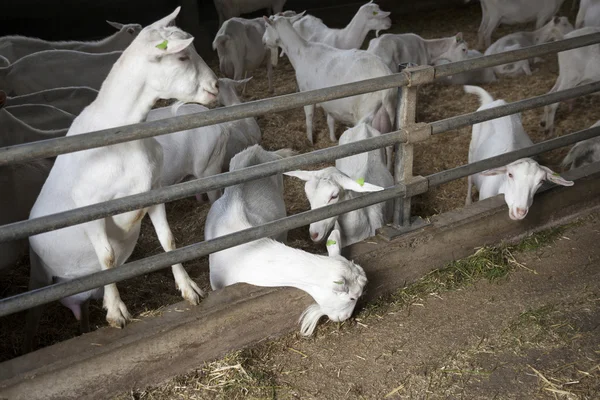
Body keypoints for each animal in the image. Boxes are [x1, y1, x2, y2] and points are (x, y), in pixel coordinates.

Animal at [264, 12, 396, 148]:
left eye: (266, 26)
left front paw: (310, 140)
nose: (264, 41)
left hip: (365, 111)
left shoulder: (306, 93)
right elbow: (330, 120)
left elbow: (309, 117)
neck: (300, 52)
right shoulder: (330, 100)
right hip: (388, 117)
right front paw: (332, 138)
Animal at [464, 85, 572, 220]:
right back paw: (468, 201)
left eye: (541, 181)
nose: (520, 212)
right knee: (469, 178)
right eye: (510, 175)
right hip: (472, 149)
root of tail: (494, 102)